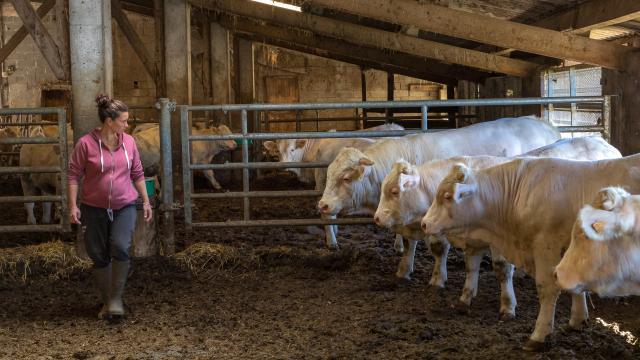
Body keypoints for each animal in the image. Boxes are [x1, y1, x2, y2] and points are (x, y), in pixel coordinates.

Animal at [320, 116, 560, 280]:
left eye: (346, 178)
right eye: (329, 173)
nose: (322, 204)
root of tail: (542, 123)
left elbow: (437, 246)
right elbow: (409, 242)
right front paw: (404, 270)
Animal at [376, 138, 620, 318]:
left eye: (394, 191)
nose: (377, 218)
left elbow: (502, 269)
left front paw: (508, 306)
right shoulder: (472, 241)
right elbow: (469, 266)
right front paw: (464, 297)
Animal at [420, 154, 640, 348]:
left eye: (447, 197)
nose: (424, 223)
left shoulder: (546, 247)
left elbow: (547, 288)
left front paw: (539, 335)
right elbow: (574, 284)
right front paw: (577, 320)